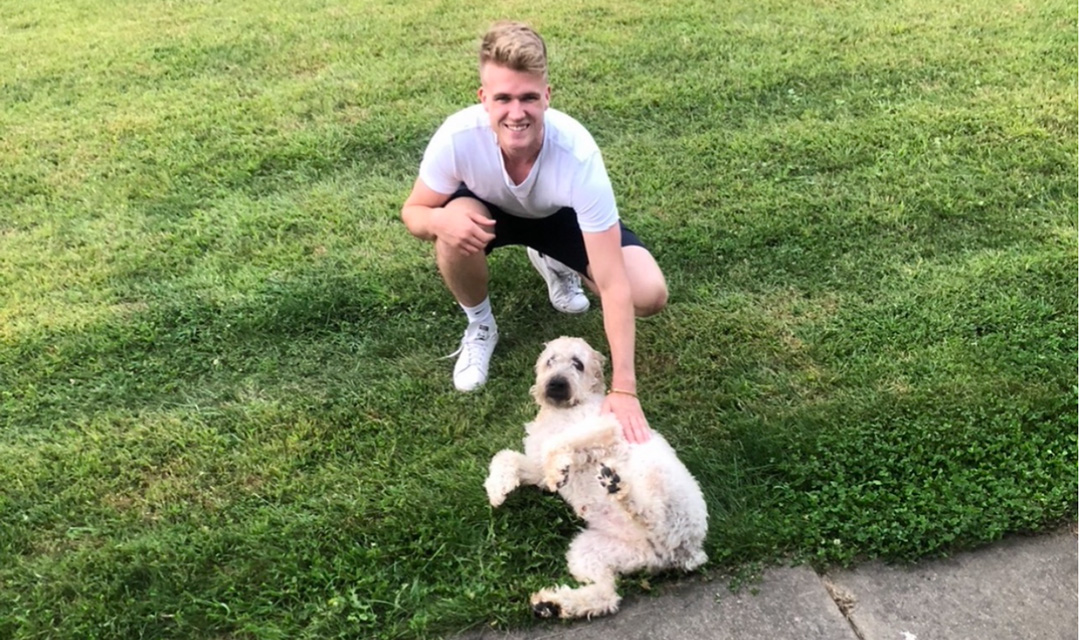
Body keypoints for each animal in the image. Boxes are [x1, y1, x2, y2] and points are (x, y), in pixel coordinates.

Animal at [483, 334, 708, 617]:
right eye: (550, 360)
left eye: (578, 364)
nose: (556, 384)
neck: (563, 410)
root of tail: (686, 551)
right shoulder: (535, 467)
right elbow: (505, 457)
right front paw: (497, 488)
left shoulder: (607, 426)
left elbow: (556, 445)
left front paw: (558, 470)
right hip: (592, 551)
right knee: (607, 594)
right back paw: (552, 605)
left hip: (657, 482)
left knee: (647, 511)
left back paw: (617, 486)